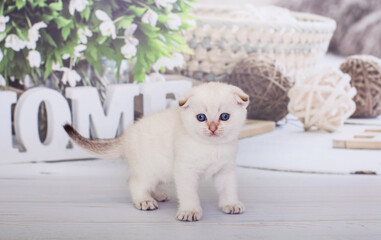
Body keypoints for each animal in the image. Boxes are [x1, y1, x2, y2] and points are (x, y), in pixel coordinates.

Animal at [64, 82, 249, 221]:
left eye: (224, 116)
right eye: (201, 117)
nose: (212, 128)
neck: (211, 147)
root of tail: (125, 136)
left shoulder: (225, 170)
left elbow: (228, 189)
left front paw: (230, 204)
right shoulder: (185, 171)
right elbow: (189, 194)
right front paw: (190, 211)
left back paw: (158, 195)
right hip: (148, 170)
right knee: (134, 183)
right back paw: (144, 200)